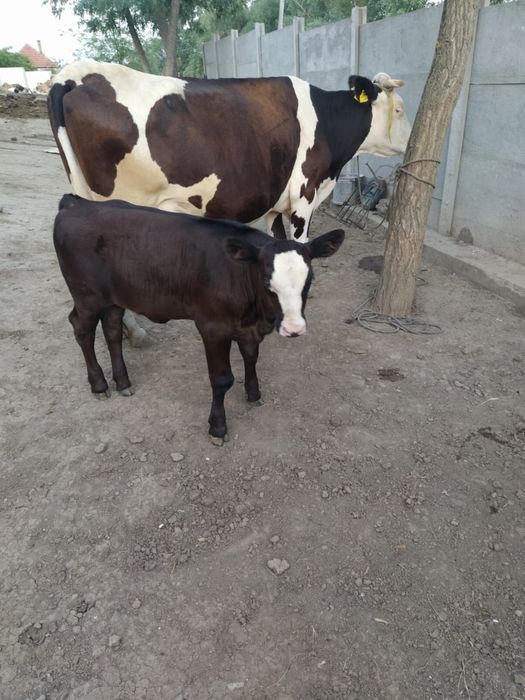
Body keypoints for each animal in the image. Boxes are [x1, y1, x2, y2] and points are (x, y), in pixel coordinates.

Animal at [53, 194, 345, 445]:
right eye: (266, 282)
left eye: (310, 279)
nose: (294, 328)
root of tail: (76, 203)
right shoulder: (213, 327)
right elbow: (222, 379)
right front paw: (217, 427)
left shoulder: (248, 328)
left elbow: (251, 358)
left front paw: (253, 394)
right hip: (87, 296)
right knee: (81, 329)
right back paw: (99, 384)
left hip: (114, 297)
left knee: (112, 328)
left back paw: (122, 381)